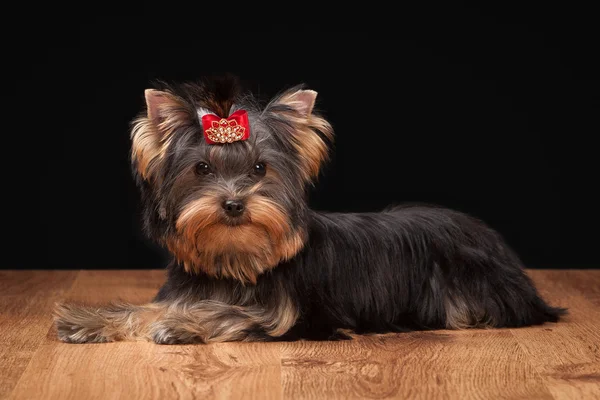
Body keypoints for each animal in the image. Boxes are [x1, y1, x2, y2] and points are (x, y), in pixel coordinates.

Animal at [54, 75, 564, 344]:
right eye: (202, 168)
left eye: (260, 167)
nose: (234, 203)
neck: (236, 259)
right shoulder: (191, 287)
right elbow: (145, 307)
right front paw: (89, 321)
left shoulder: (282, 315)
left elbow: (225, 314)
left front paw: (178, 325)